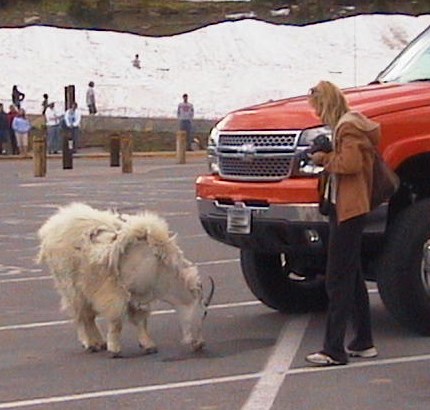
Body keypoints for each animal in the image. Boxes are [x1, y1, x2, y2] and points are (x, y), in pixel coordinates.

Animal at [37, 203, 213, 358]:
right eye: (204, 312)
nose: (200, 344)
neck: (158, 268)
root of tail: (52, 226)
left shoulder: (139, 294)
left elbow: (141, 320)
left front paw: (148, 345)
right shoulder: (116, 293)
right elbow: (116, 321)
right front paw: (115, 350)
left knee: (87, 315)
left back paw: (99, 342)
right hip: (69, 284)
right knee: (80, 314)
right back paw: (91, 343)